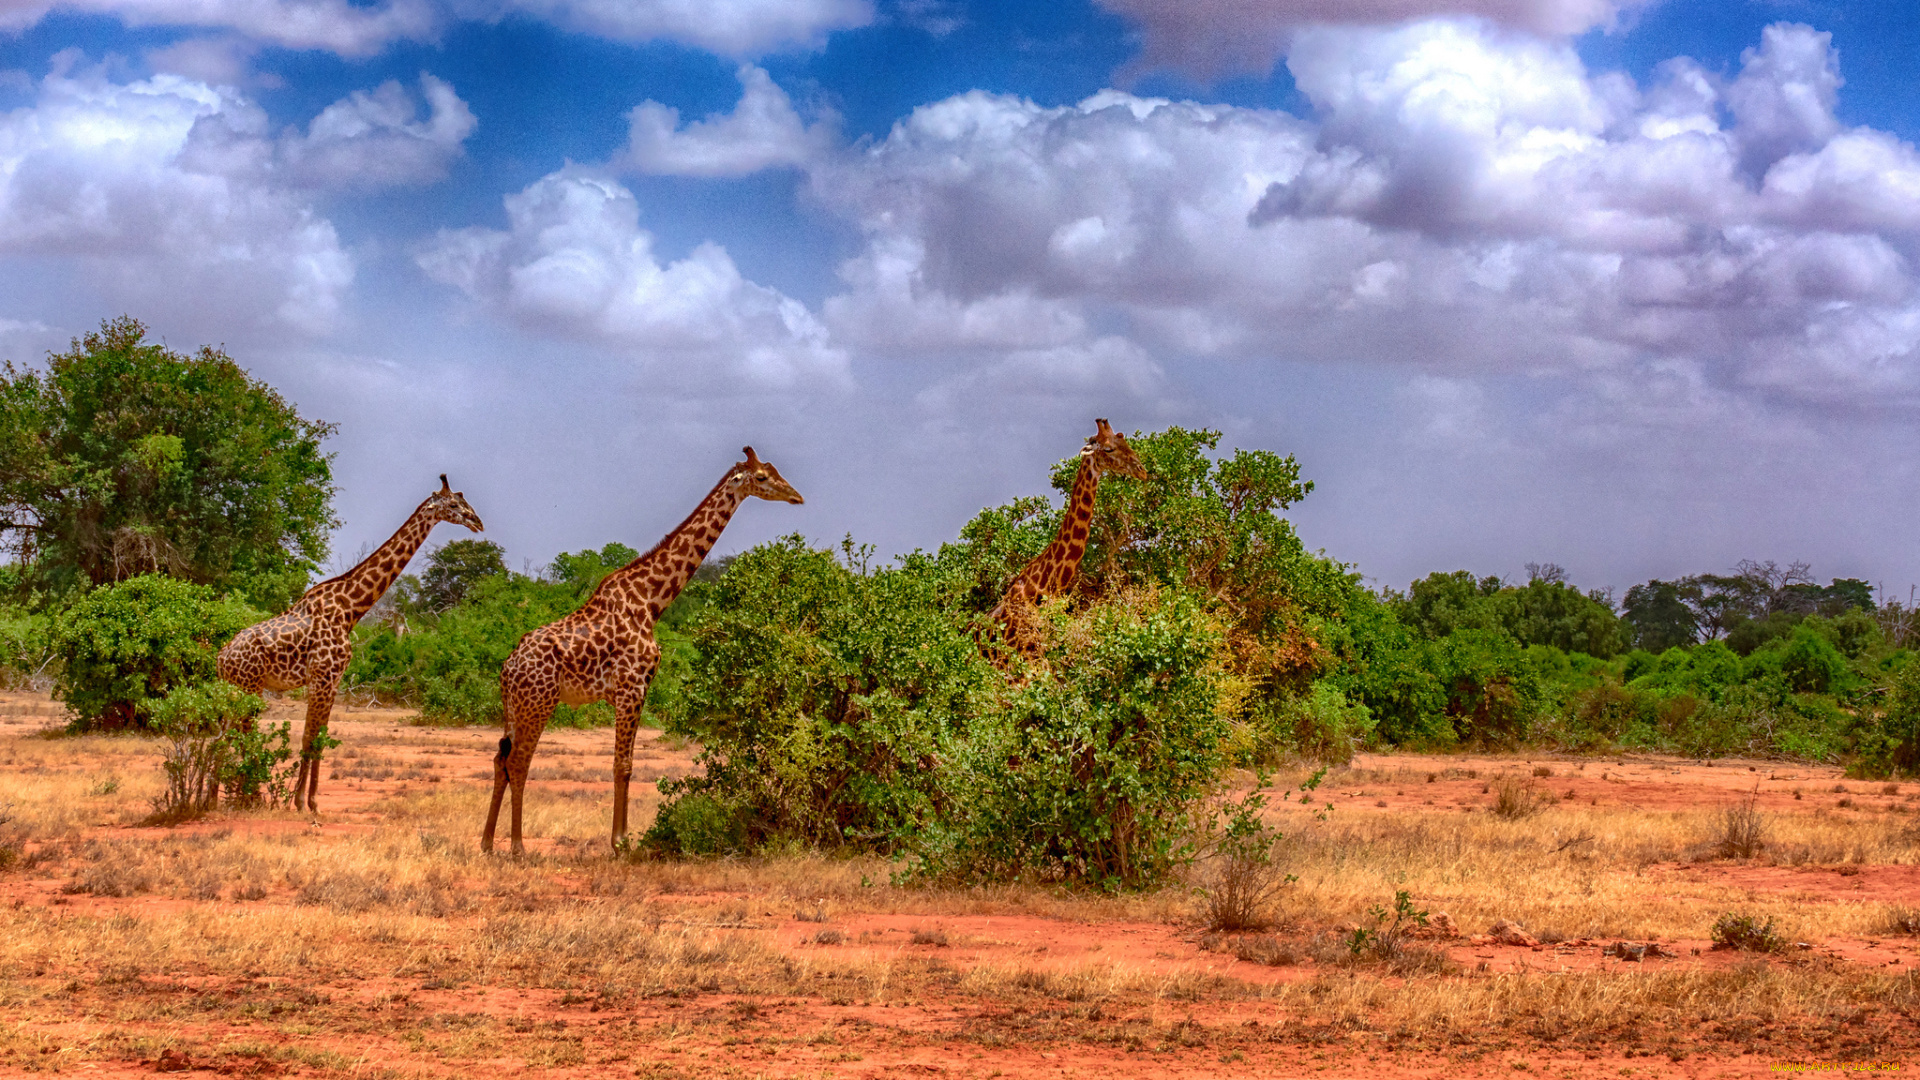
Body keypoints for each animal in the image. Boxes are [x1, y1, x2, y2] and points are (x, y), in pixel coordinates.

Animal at [218, 472, 483, 807]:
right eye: (454, 505)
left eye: (465, 502)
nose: (478, 522)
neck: (351, 607)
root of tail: (220, 658)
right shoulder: (322, 677)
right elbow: (310, 736)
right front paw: (303, 802)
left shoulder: (333, 680)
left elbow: (319, 735)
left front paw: (307, 802)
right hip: (249, 686)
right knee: (242, 733)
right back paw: (248, 798)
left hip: (235, 688)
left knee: (222, 733)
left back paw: (214, 796)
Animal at [487, 443, 810, 849]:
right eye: (764, 477)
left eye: (776, 470)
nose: (797, 497)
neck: (652, 601)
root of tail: (507, 669)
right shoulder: (631, 687)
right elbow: (622, 766)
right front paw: (620, 843)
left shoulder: (638, 690)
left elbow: (626, 765)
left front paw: (622, 840)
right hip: (539, 703)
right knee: (519, 762)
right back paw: (516, 847)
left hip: (515, 707)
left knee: (500, 760)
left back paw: (486, 845)